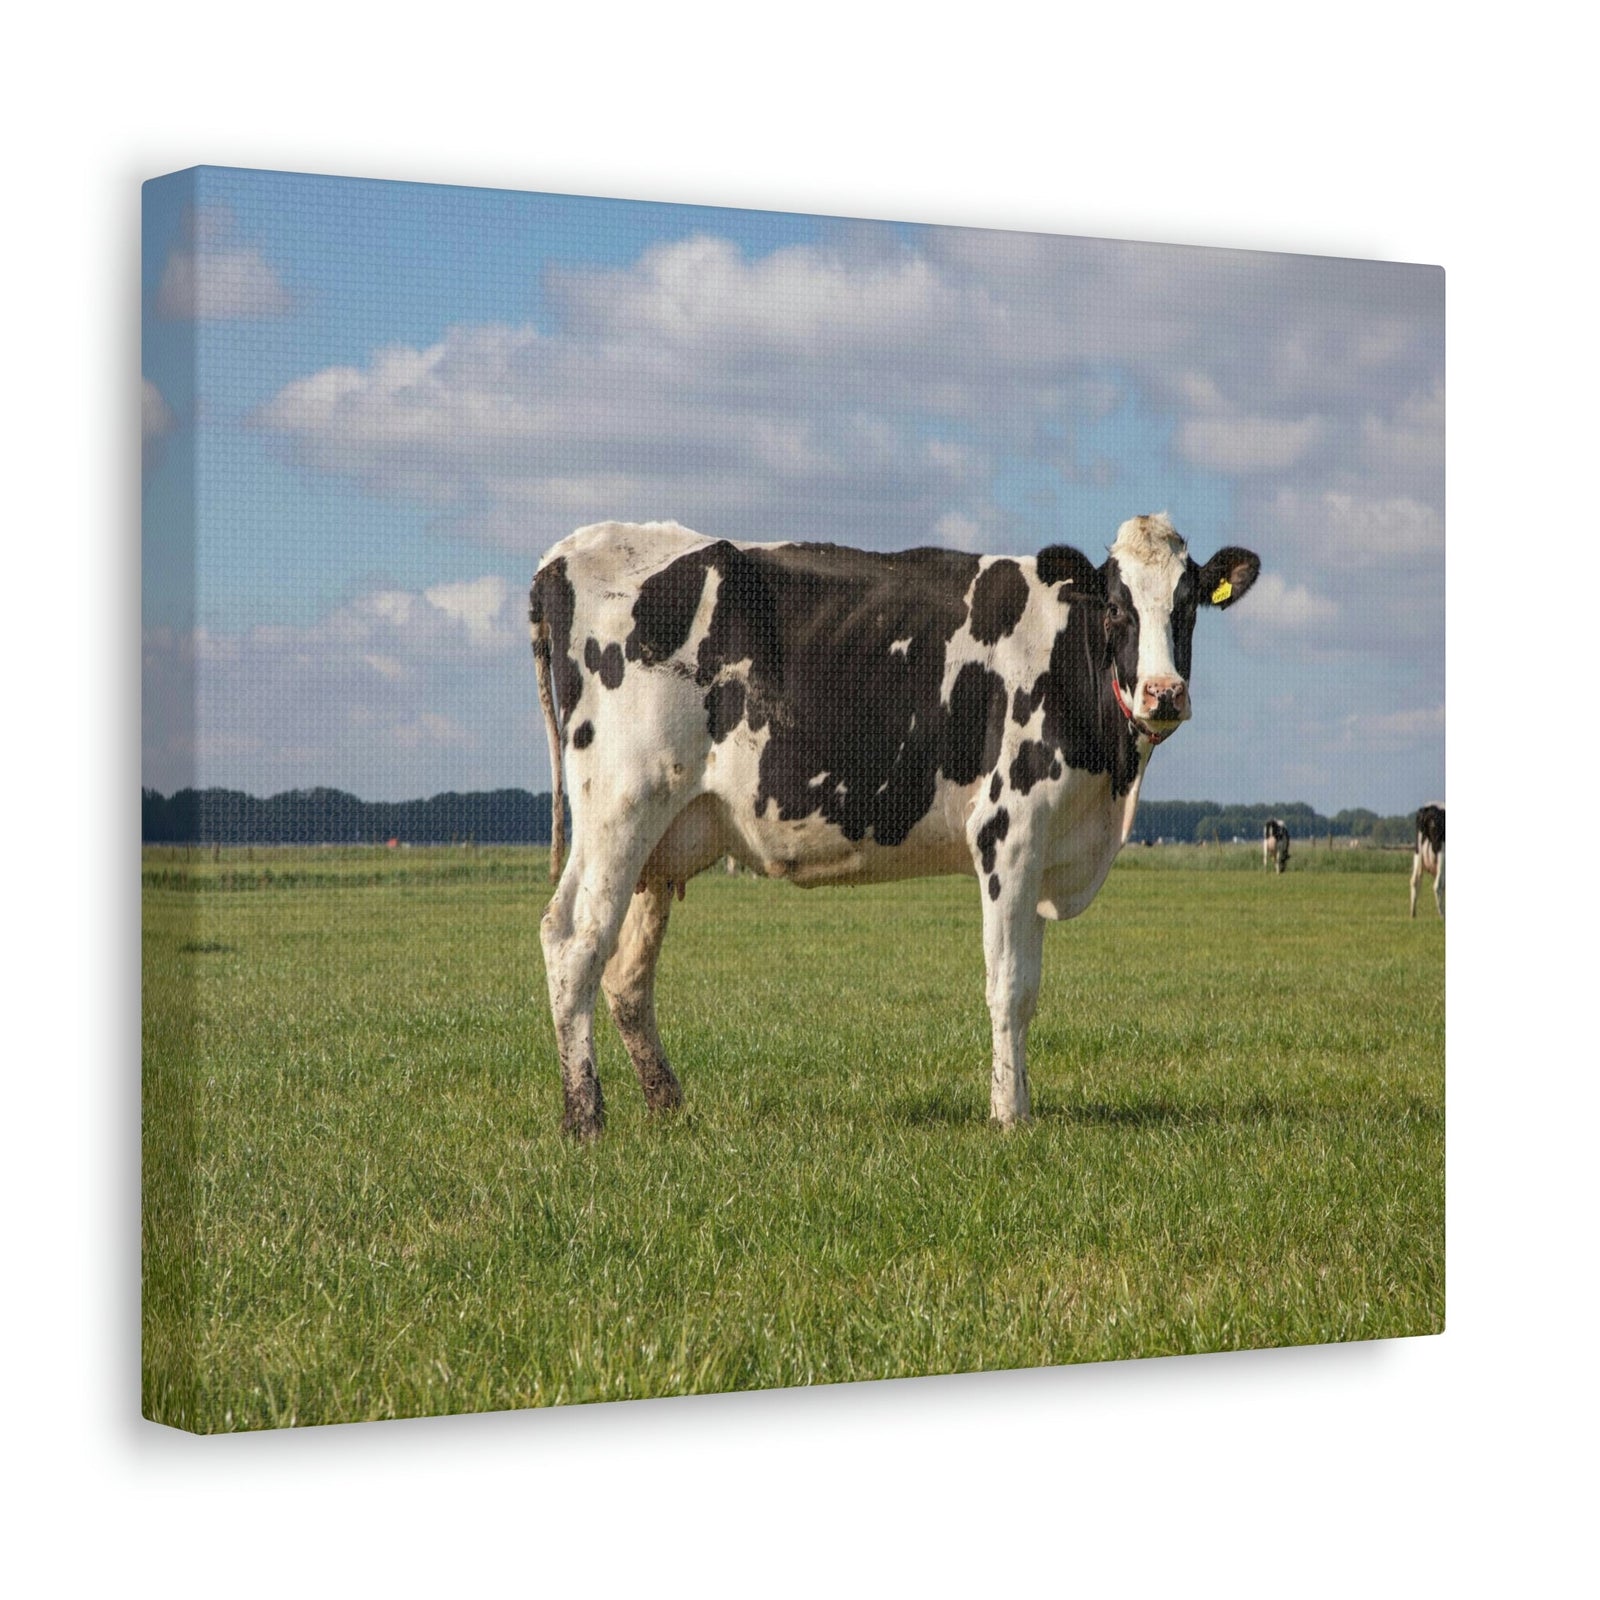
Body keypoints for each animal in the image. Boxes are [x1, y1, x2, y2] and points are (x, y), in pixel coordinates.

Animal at [529, 514, 1260, 1138]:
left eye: (1187, 604)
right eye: (1115, 607)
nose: (1163, 693)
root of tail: (567, 552)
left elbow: (1027, 986)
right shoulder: (1009, 828)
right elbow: (1009, 986)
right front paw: (1009, 1114)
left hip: (662, 839)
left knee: (627, 973)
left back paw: (668, 1105)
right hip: (620, 802)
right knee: (573, 941)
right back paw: (584, 1117)